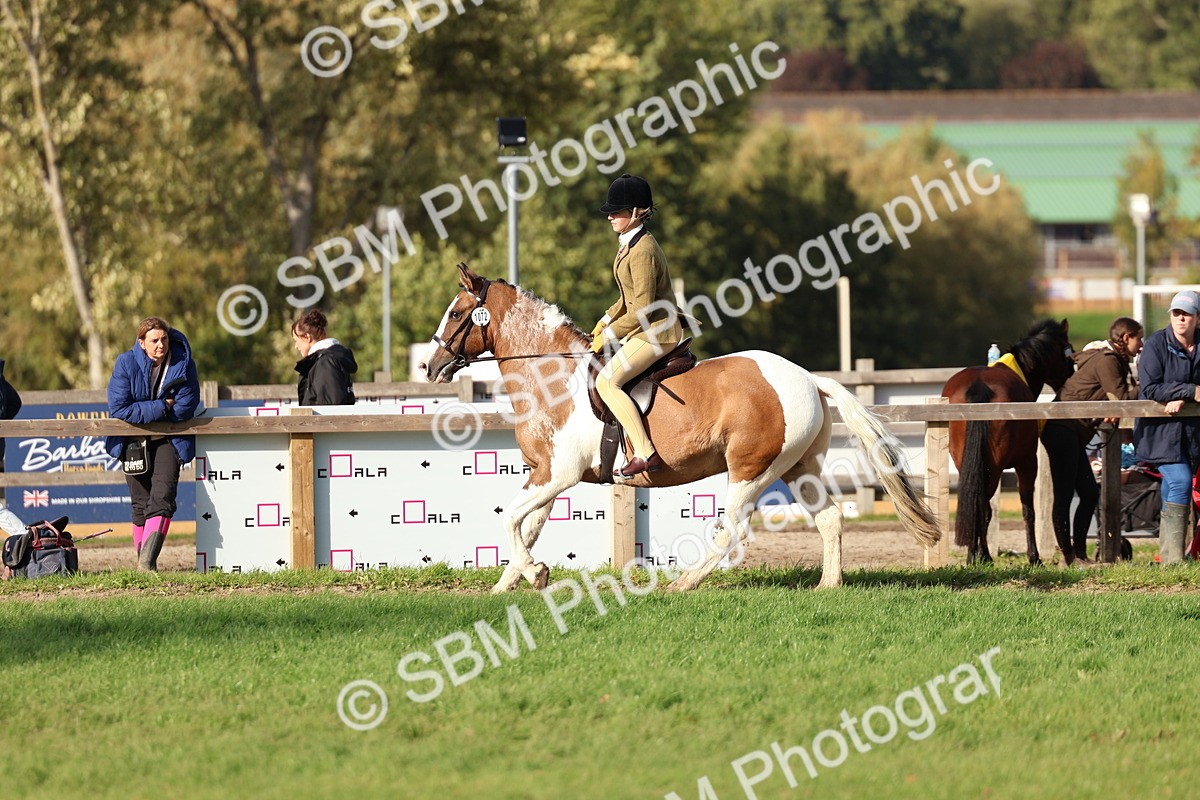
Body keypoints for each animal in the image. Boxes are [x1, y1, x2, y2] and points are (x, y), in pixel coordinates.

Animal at [421, 264, 941, 592]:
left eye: (455, 313)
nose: (429, 366)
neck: (551, 379)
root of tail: (810, 378)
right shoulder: (542, 474)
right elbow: (525, 528)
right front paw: (510, 583)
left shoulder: (559, 474)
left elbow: (509, 519)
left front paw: (535, 574)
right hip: (799, 468)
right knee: (829, 518)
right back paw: (828, 585)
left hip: (750, 470)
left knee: (731, 530)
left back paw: (684, 583)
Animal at [941, 319, 1074, 565]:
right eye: (1067, 349)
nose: (1071, 373)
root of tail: (979, 386)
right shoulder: (1027, 463)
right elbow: (1028, 510)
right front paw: (1034, 557)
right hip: (995, 467)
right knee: (983, 506)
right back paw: (982, 555)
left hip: (967, 462)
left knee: (977, 503)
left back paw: (975, 555)